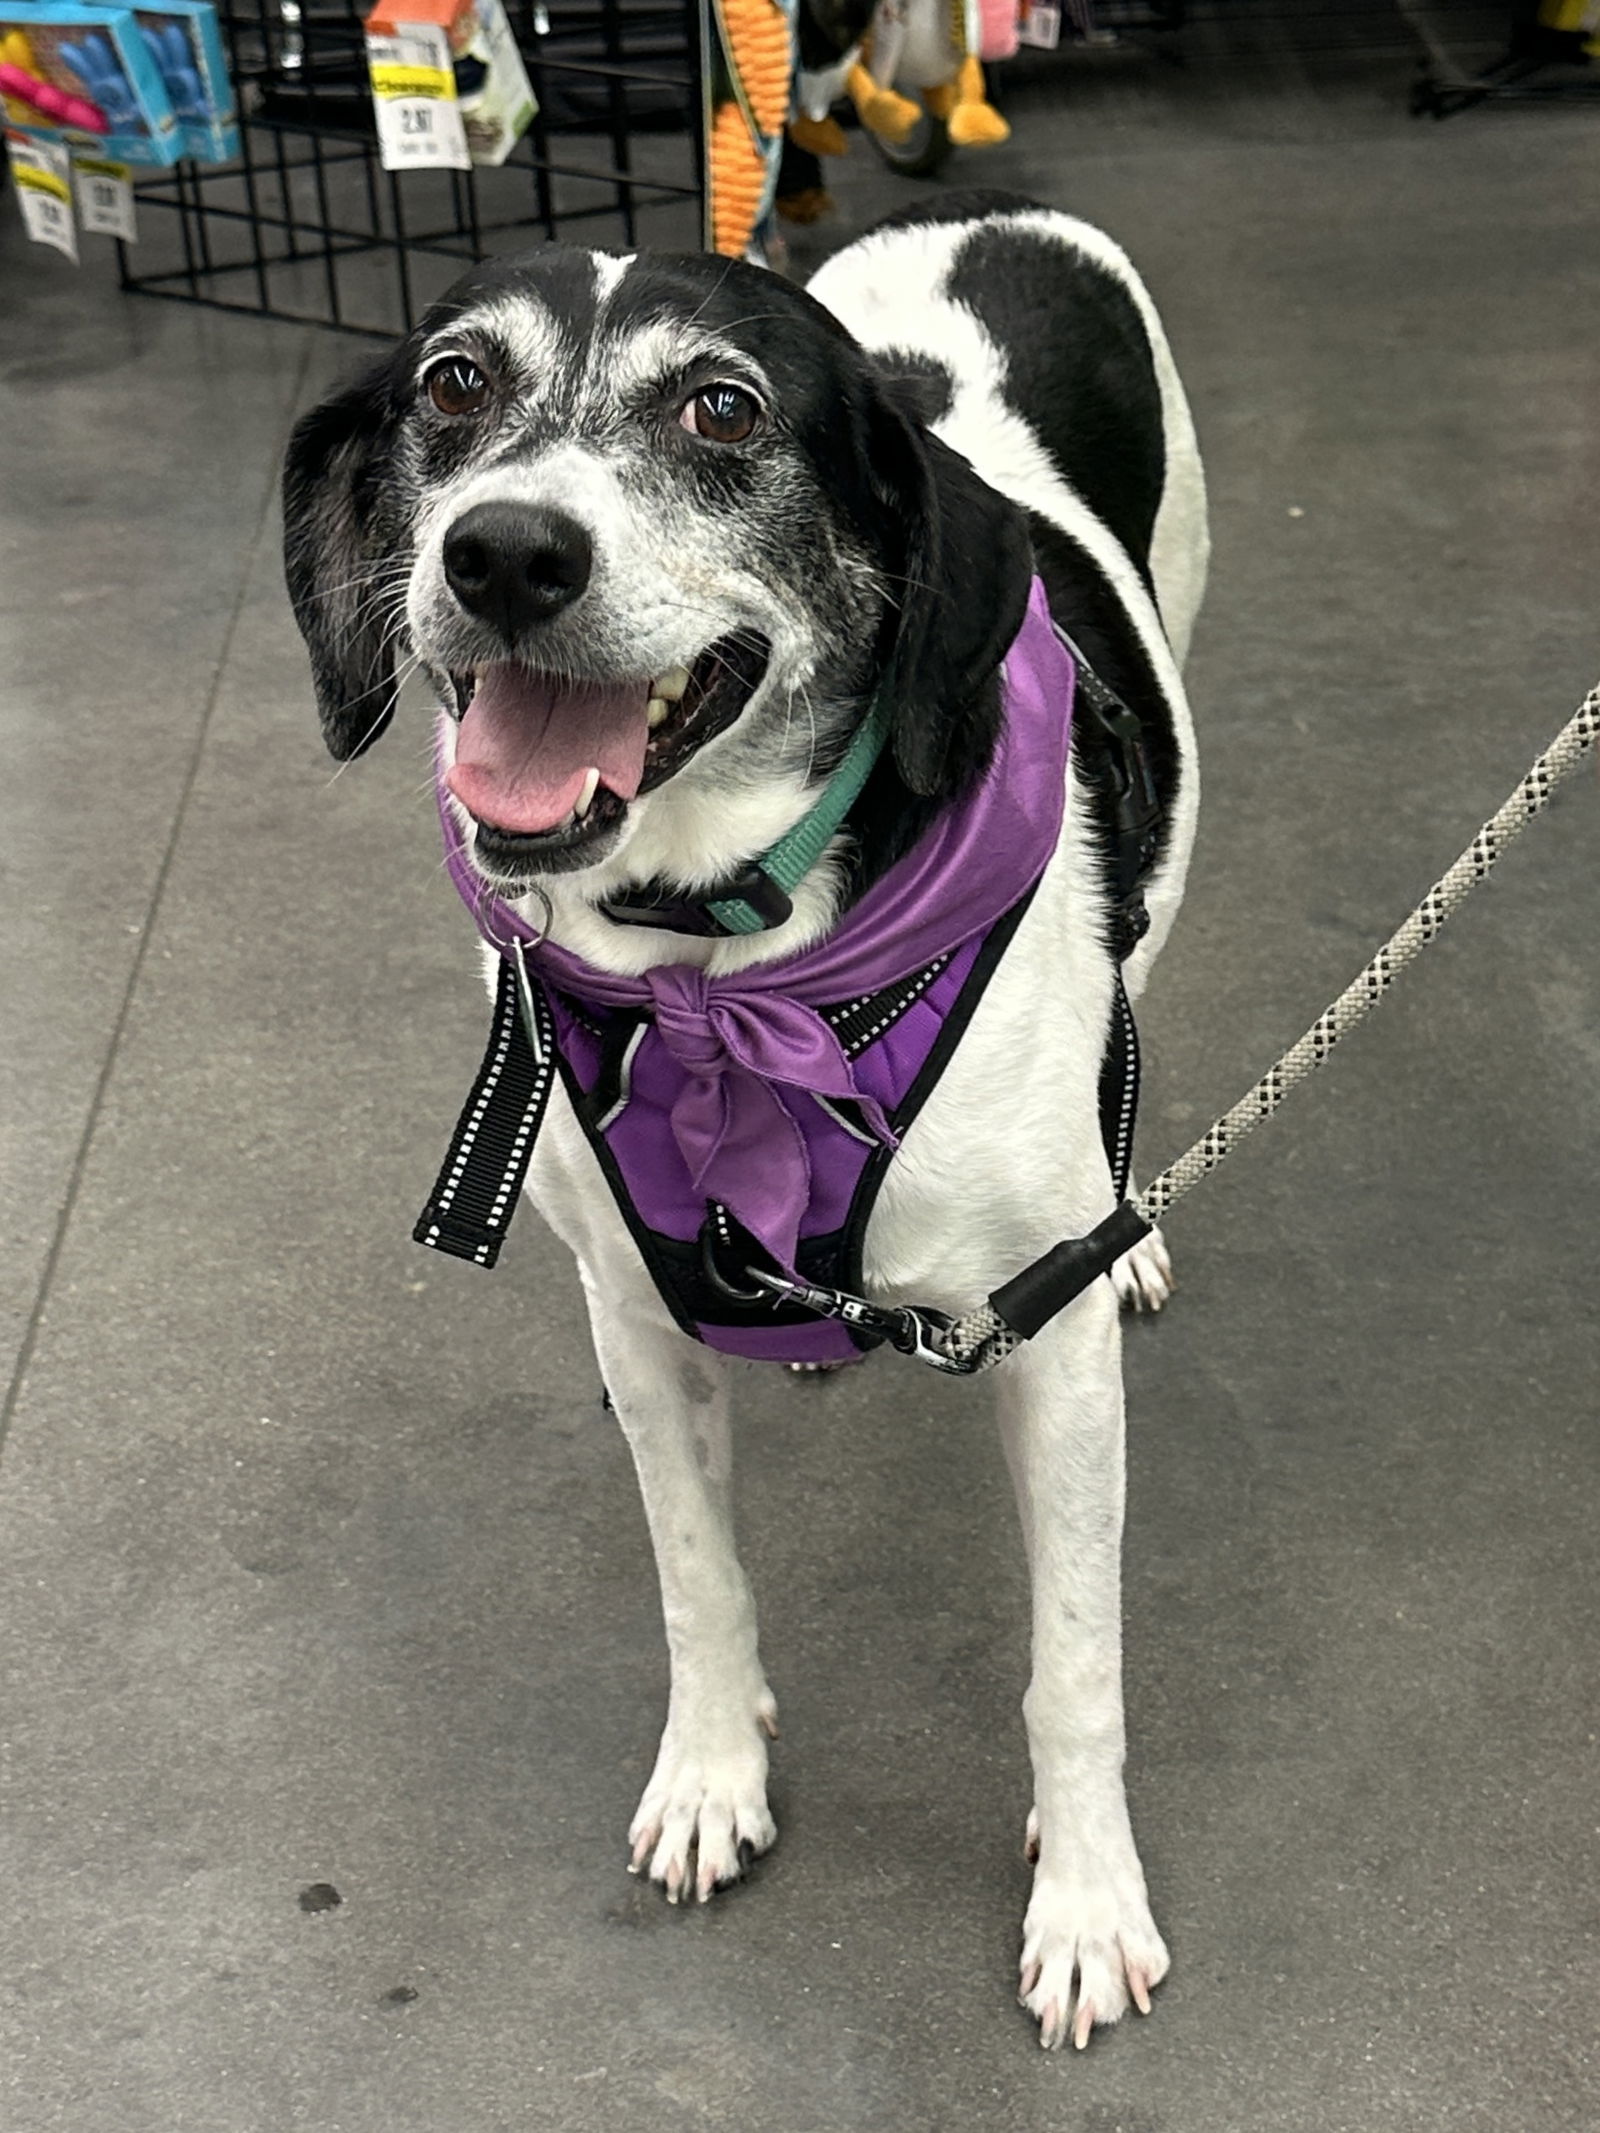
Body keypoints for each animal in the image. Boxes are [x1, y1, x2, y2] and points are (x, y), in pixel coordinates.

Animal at [285, 196, 1203, 2047]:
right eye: (453, 382)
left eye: (723, 408)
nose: (503, 553)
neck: (720, 959)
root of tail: (995, 212)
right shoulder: (637, 1321)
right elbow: (695, 1573)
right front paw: (713, 1772)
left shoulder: (1055, 1360)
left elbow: (1073, 1664)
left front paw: (1086, 1896)